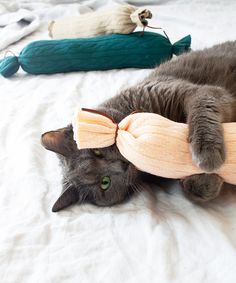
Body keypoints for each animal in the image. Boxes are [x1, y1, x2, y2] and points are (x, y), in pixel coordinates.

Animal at [41, 40, 236, 213]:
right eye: (105, 183)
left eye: (96, 151)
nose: (122, 166)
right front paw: (207, 182)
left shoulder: (194, 92)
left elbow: (202, 107)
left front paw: (206, 152)